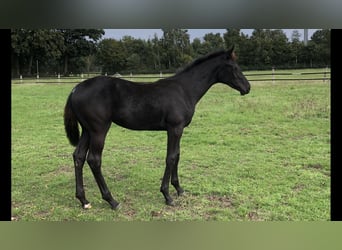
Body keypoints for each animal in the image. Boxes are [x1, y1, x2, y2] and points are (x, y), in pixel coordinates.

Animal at [64, 46, 250, 209]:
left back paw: (84, 200)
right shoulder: (174, 128)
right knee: (94, 160)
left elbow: (177, 155)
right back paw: (112, 201)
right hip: (99, 130)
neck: (184, 90)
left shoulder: (178, 130)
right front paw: (167, 195)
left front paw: (179, 189)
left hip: (87, 130)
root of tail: (75, 89)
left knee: (78, 157)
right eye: (234, 67)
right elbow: (171, 157)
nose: (247, 87)